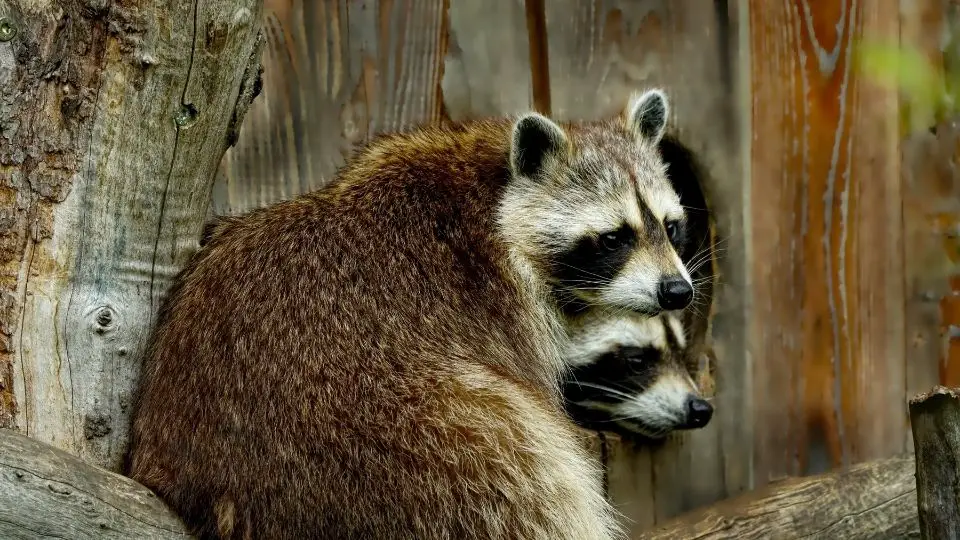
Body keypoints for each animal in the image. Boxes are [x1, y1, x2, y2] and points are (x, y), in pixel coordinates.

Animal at [124, 88, 688, 540]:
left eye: (671, 226)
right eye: (614, 238)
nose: (677, 290)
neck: (493, 191)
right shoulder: (501, 307)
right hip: (414, 448)